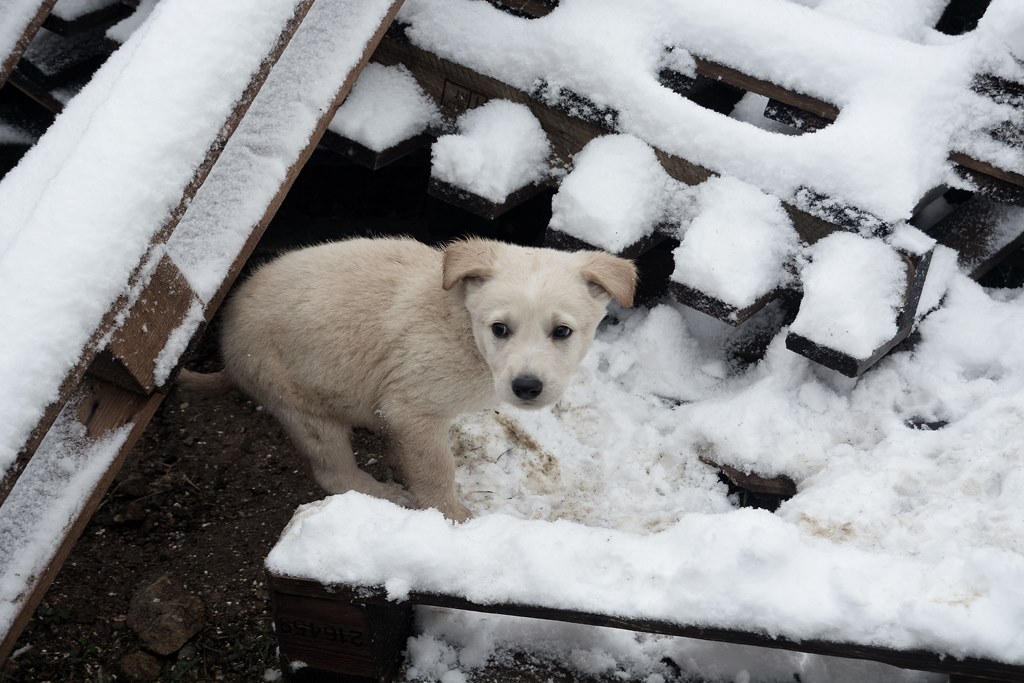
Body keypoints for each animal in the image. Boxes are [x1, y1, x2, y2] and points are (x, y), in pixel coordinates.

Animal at [180, 237, 634, 520]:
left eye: (562, 332)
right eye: (500, 329)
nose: (526, 387)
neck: (462, 326)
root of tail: (227, 354)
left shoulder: (403, 412)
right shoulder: (413, 408)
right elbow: (436, 470)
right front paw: (454, 519)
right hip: (300, 404)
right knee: (334, 474)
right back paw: (386, 493)